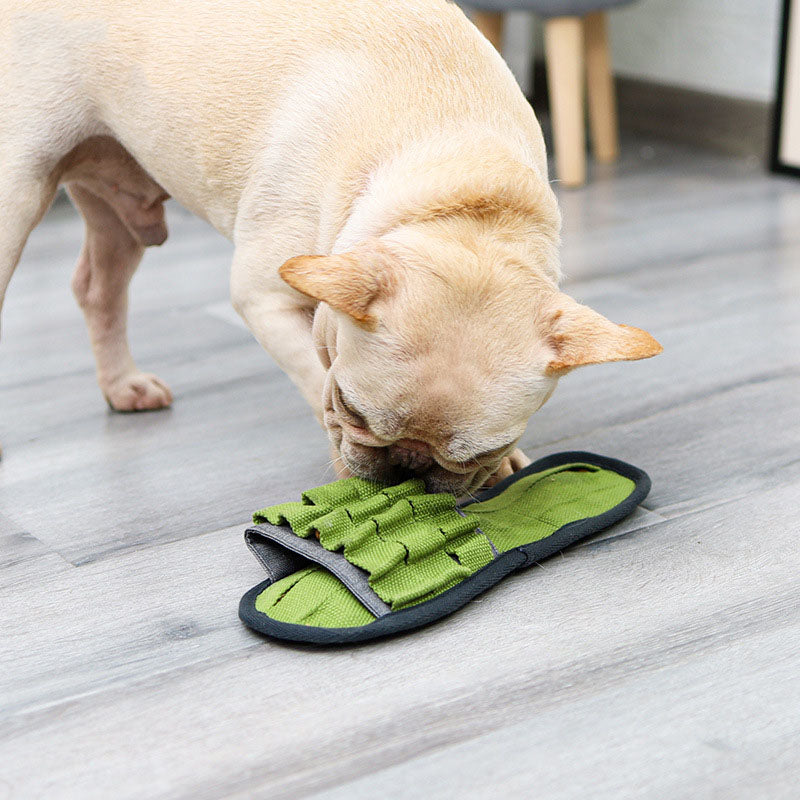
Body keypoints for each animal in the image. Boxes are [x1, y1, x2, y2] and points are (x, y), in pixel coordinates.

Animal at [0, 0, 664, 494]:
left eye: (486, 446)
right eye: (353, 408)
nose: (410, 467)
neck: (463, 193)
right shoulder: (267, 299)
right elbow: (312, 371)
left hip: (118, 200)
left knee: (99, 288)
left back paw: (122, 386)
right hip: (17, 195)